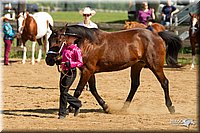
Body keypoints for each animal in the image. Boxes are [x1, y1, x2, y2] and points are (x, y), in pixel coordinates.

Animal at [45, 24, 183, 114]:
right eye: (49, 39)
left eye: (59, 40)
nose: (49, 60)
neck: (87, 43)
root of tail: (157, 35)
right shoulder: (89, 71)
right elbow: (93, 89)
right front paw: (106, 107)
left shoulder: (87, 70)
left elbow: (78, 91)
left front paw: (70, 108)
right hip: (137, 65)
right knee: (135, 85)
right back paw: (124, 108)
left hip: (155, 66)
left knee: (164, 82)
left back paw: (171, 107)